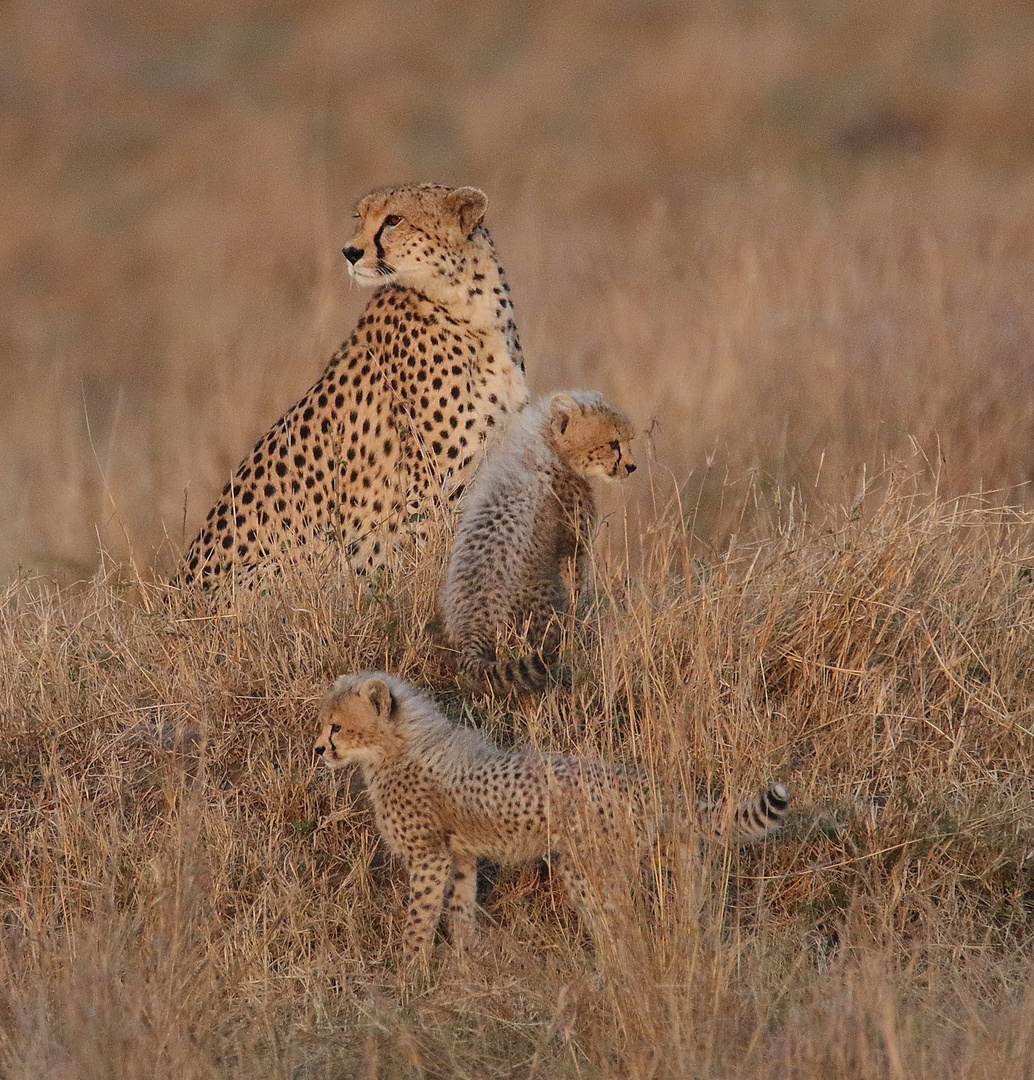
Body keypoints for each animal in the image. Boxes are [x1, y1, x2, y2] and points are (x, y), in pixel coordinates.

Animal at [176, 185, 525, 591]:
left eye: (394, 220)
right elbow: (433, 559)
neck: (471, 304)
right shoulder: (429, 490)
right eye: (360, 217)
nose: (350, 252)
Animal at [311, 669, 786, 959]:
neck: (396, 747)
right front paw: (465, 964)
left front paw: (412, 973)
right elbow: (461, 907)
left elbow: (420, 916)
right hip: (667, 851)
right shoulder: (459, 854)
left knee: (622, 923)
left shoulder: (429, 856)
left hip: (590, 867)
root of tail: (636, 777)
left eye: (336, 726)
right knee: (686, 898)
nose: (318, 750)